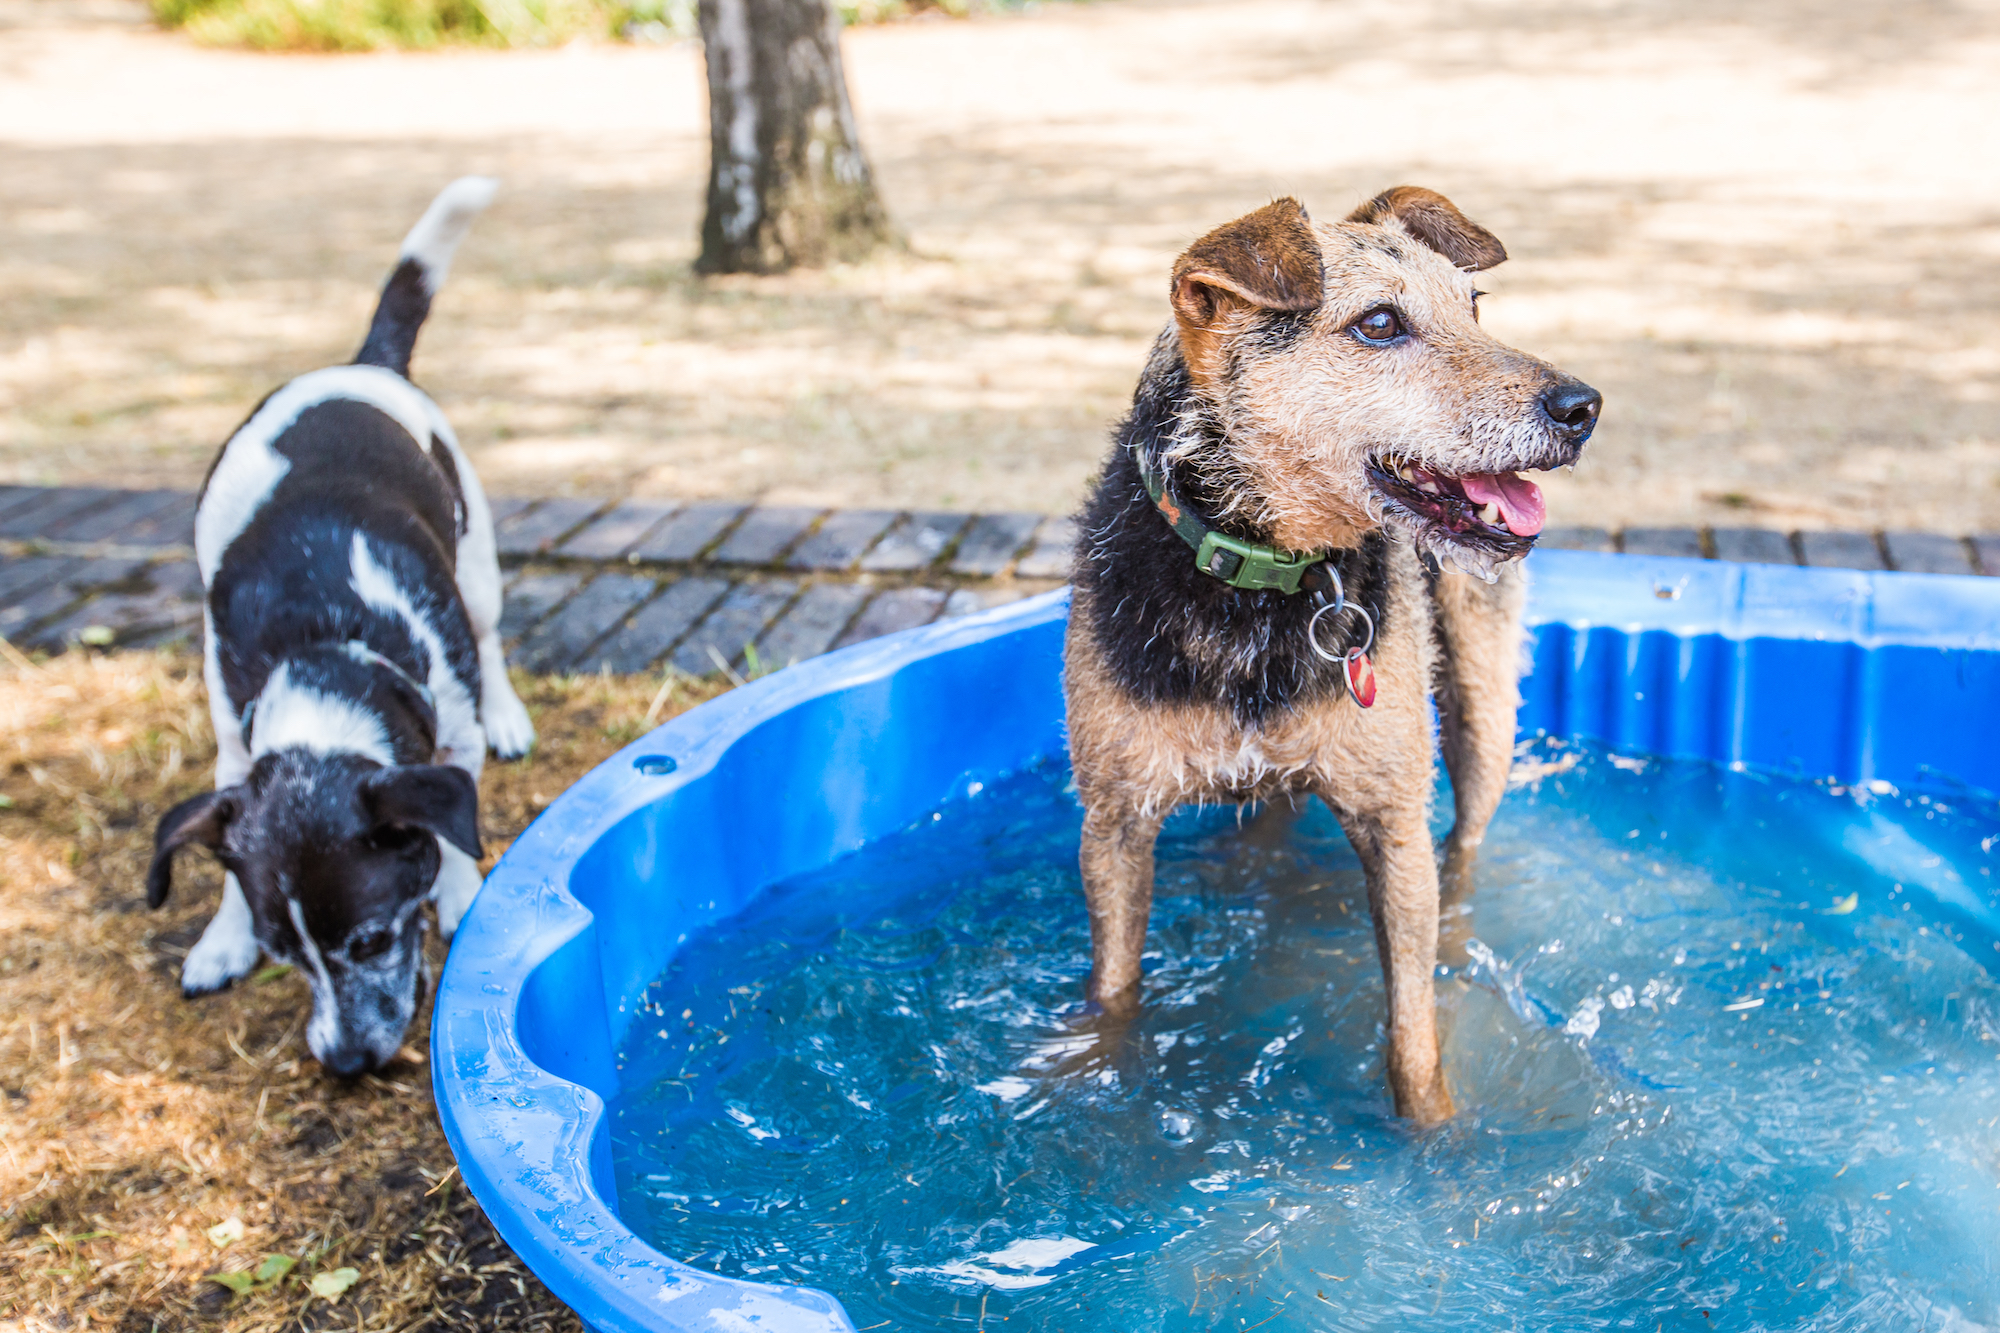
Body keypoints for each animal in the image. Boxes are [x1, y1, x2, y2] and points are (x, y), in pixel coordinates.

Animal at [146, 176, 536, 1072]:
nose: (347, 1062)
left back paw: (508, 712)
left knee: (491, 636)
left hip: (476, 558)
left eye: (372, 938)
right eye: (284, 954)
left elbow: (452, 830)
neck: (326, 646)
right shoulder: (234, 738)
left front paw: (459, 895)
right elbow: (229, 845)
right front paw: (221, 940)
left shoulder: (446, 726)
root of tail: (360, 364)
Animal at [1072, 187, 1600, 1120]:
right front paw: (1102, 1068)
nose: (1582, 408)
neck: (1263, 585)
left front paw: (1435, 1135)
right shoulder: (1115, 823)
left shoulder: (1393, 823)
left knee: (1464, 849)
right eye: (1380, 323)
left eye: (1474, 306)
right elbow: (1116, 989)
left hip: (1482, 714)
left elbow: (1413, 1035)